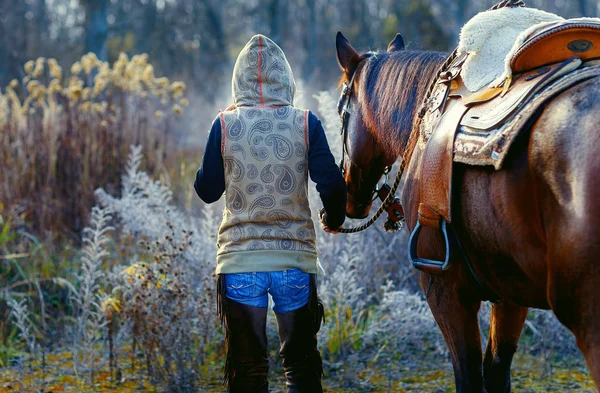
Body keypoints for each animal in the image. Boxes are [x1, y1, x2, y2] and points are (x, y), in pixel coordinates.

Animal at [338, 31, 600, 392]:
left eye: (342, 110)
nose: (350, 198)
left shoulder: (445, 290)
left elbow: (469, 376)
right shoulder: (510, 295)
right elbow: (496, 371)